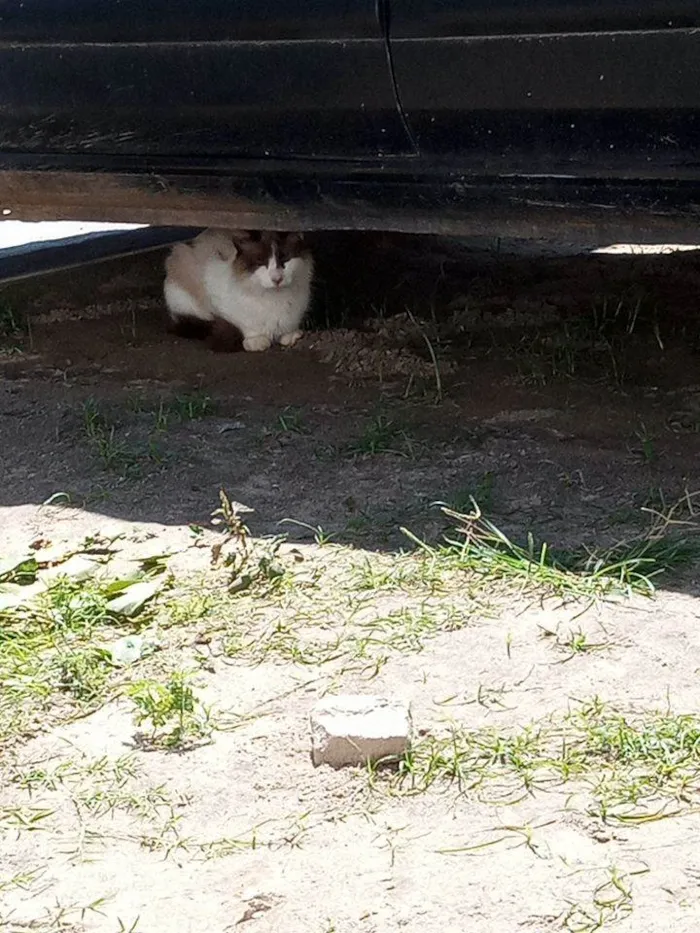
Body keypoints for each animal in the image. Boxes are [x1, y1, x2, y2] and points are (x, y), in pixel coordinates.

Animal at [163, 229, 314, 354]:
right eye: (260, 262)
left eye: (285, 259)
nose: (277, 279)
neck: (276, 298)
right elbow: (245, 325)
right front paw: (256, 341)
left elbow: (288, 328)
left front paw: (290, 335)